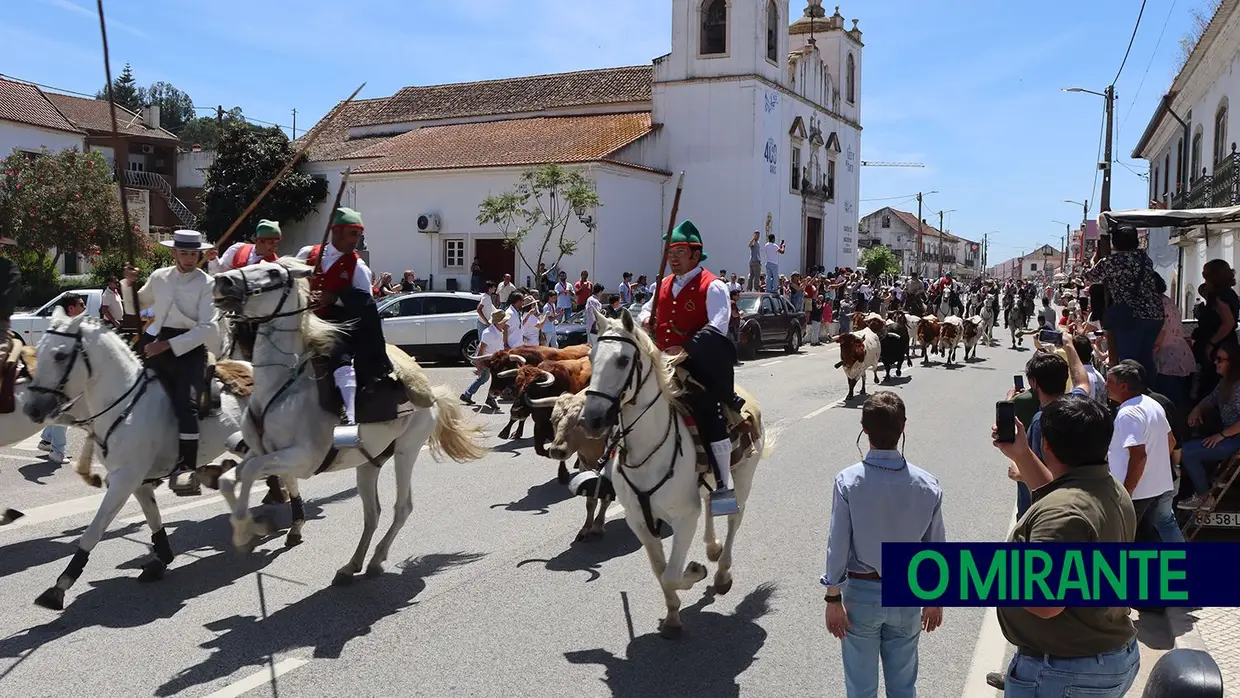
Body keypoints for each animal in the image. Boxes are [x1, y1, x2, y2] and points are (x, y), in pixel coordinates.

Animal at [21, 312, 250, 612]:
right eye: (39, 350)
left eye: (60, 355)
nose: (32, 409)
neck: (124, 406)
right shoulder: (136, 480)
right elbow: (153, 519)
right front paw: (161, 559)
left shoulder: (124, 479)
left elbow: (93, 531)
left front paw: (60, 586)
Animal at [210, 257, 486, 585]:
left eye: (274, 272)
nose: (223, 281)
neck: (280, 387)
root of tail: (430, 391)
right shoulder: (262, 452)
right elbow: (229, 479)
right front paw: (252, 529)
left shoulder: (301, 459)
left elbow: (251, 473)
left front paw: (246, 531)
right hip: (369, 463)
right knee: (373, 513)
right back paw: (352, 565)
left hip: (406, 451)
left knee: (402, 508)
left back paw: (376, 560)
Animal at [572, 309, 763, 639]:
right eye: (592, 356)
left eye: (623, 360)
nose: (591, 420)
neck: (647, 452)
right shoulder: (640, 521)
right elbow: (660, 572)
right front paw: (673, 616)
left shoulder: (684, 518)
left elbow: (672, 573)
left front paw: (695, 572)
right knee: (711, 504)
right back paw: (712, 548)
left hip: (743, 477)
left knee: (734, 519)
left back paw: (722, 572)